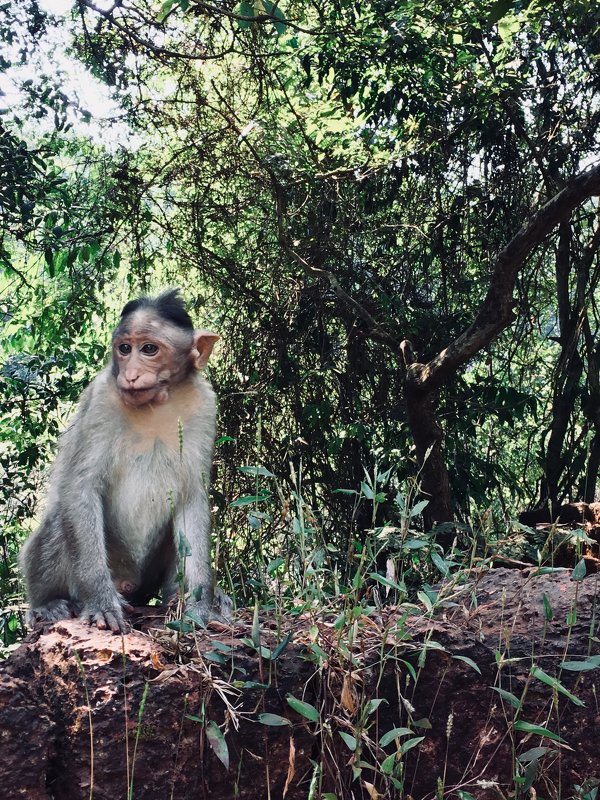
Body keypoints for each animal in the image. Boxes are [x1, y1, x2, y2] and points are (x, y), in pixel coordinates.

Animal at [18, 288, 230, 632]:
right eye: (125, 348)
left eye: (149, 349)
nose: (130, 374)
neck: (157, 402)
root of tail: (130, 584)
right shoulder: (103, 399)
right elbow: (81, 488)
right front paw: (101, 603)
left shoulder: (205, 406)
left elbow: (192, 497)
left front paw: (200, 605)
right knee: (62, 515)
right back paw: (48, 603)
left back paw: (181, 597)